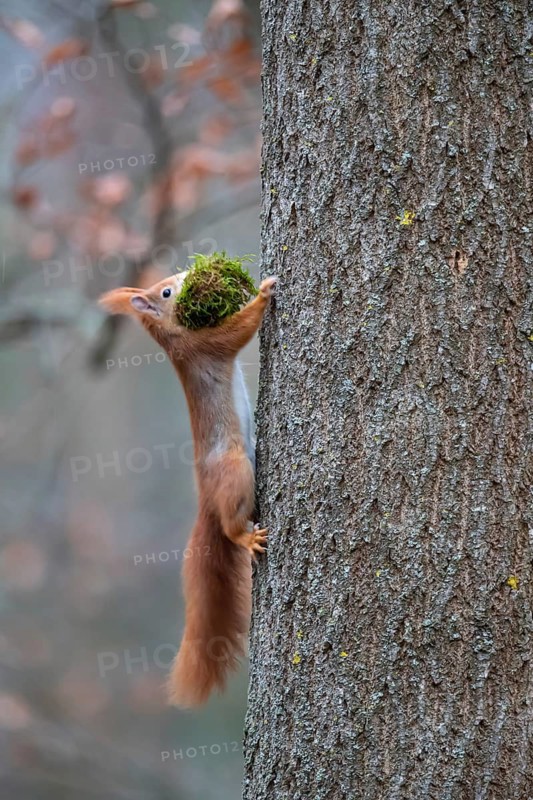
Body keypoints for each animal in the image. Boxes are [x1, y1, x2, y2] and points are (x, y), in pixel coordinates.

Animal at [99, 271, 276, 707]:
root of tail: (207, 502)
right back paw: (246, 538)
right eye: (166, 292)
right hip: (235, 472)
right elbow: (237, 331)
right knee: (231, 525)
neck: (172, 336)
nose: (182, 275)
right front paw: (263, 292)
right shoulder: (203, 345)